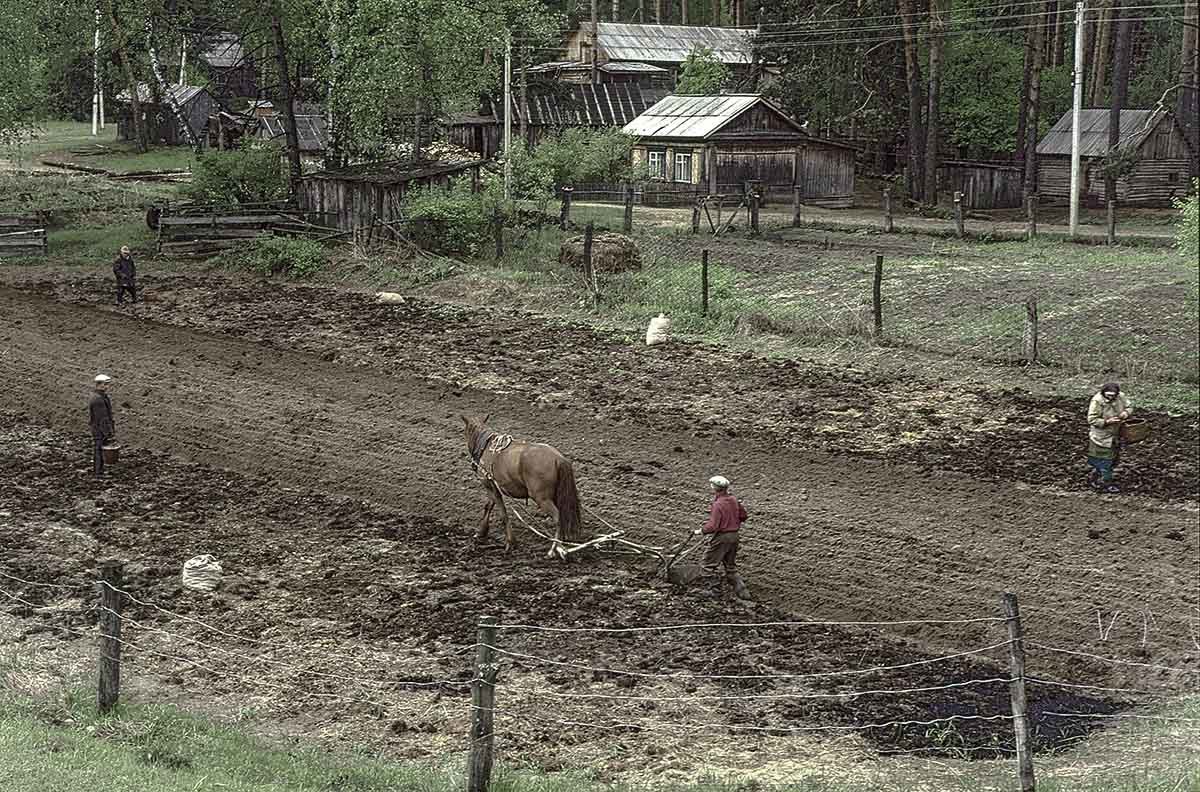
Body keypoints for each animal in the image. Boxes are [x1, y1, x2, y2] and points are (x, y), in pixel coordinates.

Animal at [463, 415, 585, 556]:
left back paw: (554, 548)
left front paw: (510, 542)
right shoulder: (493, 487)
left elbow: (503, 514)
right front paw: (481, 532)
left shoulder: (490, 486)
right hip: (556, 495)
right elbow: (488, 506)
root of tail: (559, 459)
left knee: (557, 517)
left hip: (542, 498)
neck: (485, 448)